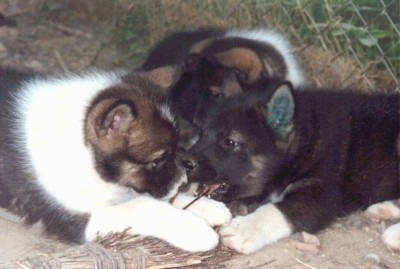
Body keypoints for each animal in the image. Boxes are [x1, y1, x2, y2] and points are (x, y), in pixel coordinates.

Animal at [0, 66, 230, 251]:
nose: (183, 184)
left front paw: (207, 207)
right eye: (157, 160)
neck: (86, 149)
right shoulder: (82, 222)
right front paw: (195, 230)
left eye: (176, 149)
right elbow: (141, 206)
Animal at [182, 74, 400, 252]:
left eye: (229, 142)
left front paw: (244, 229)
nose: (184, 163)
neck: (302, 143)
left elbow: (275, 209)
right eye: (202, 134)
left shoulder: (320, 196)